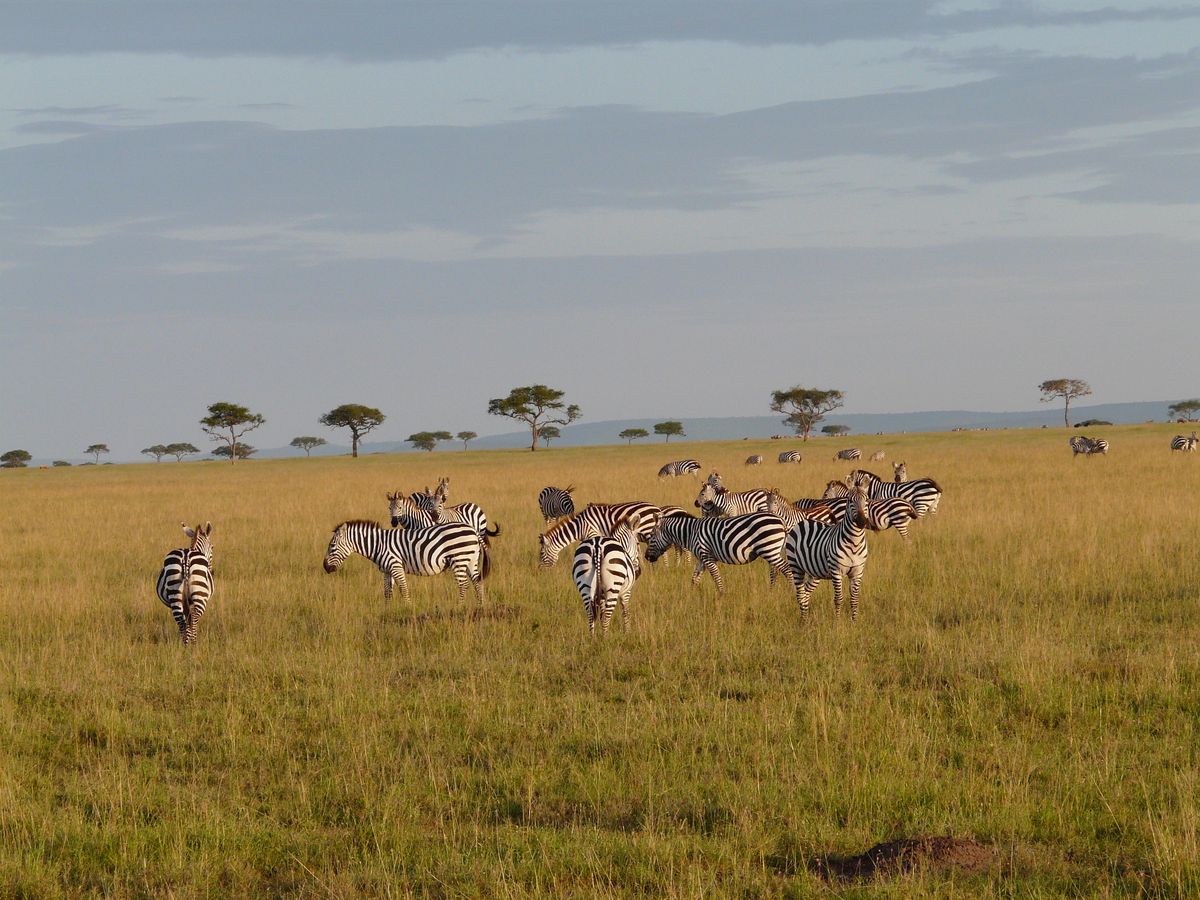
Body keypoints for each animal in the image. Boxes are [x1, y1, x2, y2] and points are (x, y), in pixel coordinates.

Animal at [322, 519, 489, 603]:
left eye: (332, 546)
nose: (325, 567)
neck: (378, 544)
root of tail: (472, 529)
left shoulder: (395, 566)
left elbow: (403, 589)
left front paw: (407, 608)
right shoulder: (387, 570)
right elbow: (387, 592)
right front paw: (388, 610)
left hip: (459, 559)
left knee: (463, 585)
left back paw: (459, 606)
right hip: (471, 559)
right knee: (477, 582)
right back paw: (479, 606)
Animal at [645, 512, 790, 594]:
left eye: (651, 536)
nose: (646, 557)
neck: (691, 533)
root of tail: (781, 520)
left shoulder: (707, 557)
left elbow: (716, 577)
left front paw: (721, 595)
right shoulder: (701, 559)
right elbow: (694, 578)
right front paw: (690, 596)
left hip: (769, 549)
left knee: (786, 568)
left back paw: (791, 590)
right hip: (772, 551)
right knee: (775, 571)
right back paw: (772, 592)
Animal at [786, 477, 873, 619]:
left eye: (866, 500)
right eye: (850, 501)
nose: (862, 522)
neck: (854, 543)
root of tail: (803, 521)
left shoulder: (857, 572)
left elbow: (854, 600)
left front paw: (854, 621)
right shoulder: (836, 571)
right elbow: (838, 599)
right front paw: (837, 622)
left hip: (814, 572)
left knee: (806, 593)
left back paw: (806, 619)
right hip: (796, 566)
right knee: (800, 595)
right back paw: (803, 620)